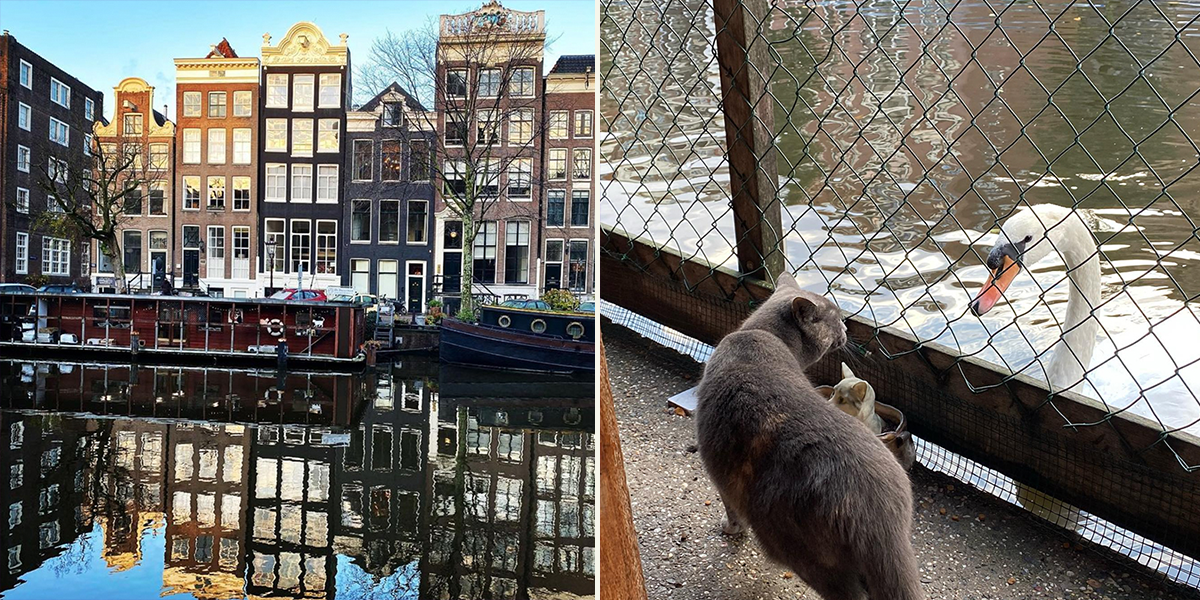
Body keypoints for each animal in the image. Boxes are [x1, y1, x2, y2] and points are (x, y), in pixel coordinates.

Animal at [700, 274, 921, 600]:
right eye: (838, 319)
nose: (846, 328)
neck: (760, 333)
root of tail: (879, 512)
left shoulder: (719, 471)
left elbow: (731, 507)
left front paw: (730, 529)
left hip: (807, 555)